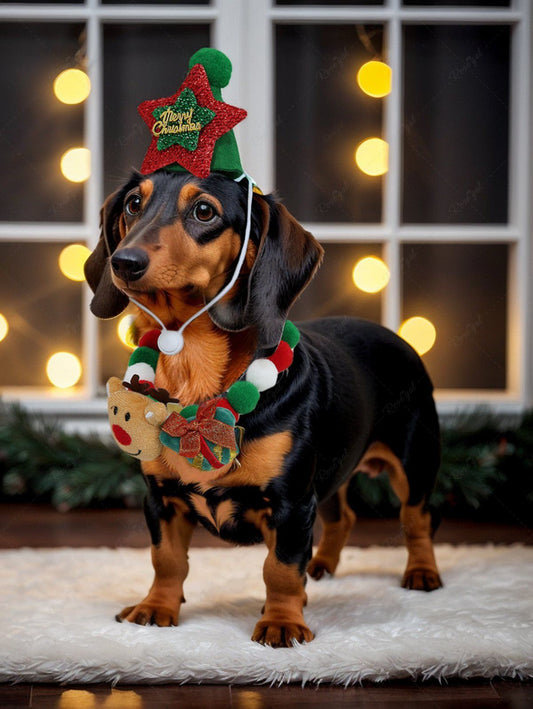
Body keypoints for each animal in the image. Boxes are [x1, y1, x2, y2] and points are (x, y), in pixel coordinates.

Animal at [84, 170, 440, 648]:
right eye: (133, 205)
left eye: (204, 211)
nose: (124, 262)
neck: (194, 372)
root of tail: (396, 335)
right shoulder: (161, 500)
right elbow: (167, 560)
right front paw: (156, 608)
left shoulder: (291, 504)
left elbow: (281, 569)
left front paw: (283, 622)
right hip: (329, 475)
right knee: (342, 517)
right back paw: (321, 567)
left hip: (413, 461)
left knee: (415, 518)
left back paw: (421, 571)